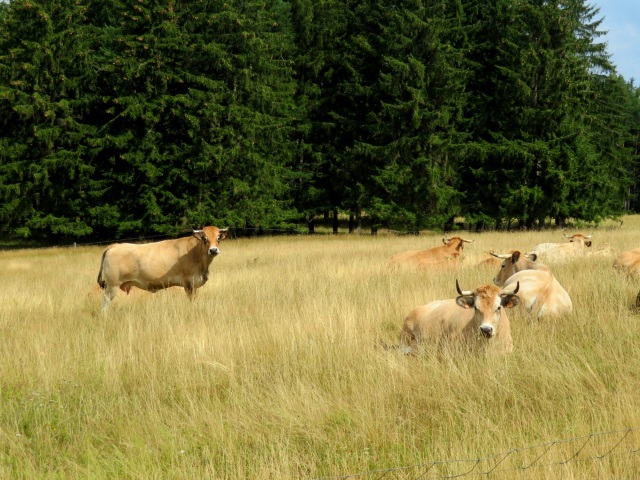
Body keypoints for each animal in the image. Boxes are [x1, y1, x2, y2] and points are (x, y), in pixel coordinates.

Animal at [99, 227, 229, 314]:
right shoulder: (188, 282)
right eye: (204, 238)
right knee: (104, 304)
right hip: (112, 286)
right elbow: (191, 299)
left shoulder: (194, 284)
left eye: (218, 238)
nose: (213, 250)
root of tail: (115, 245)